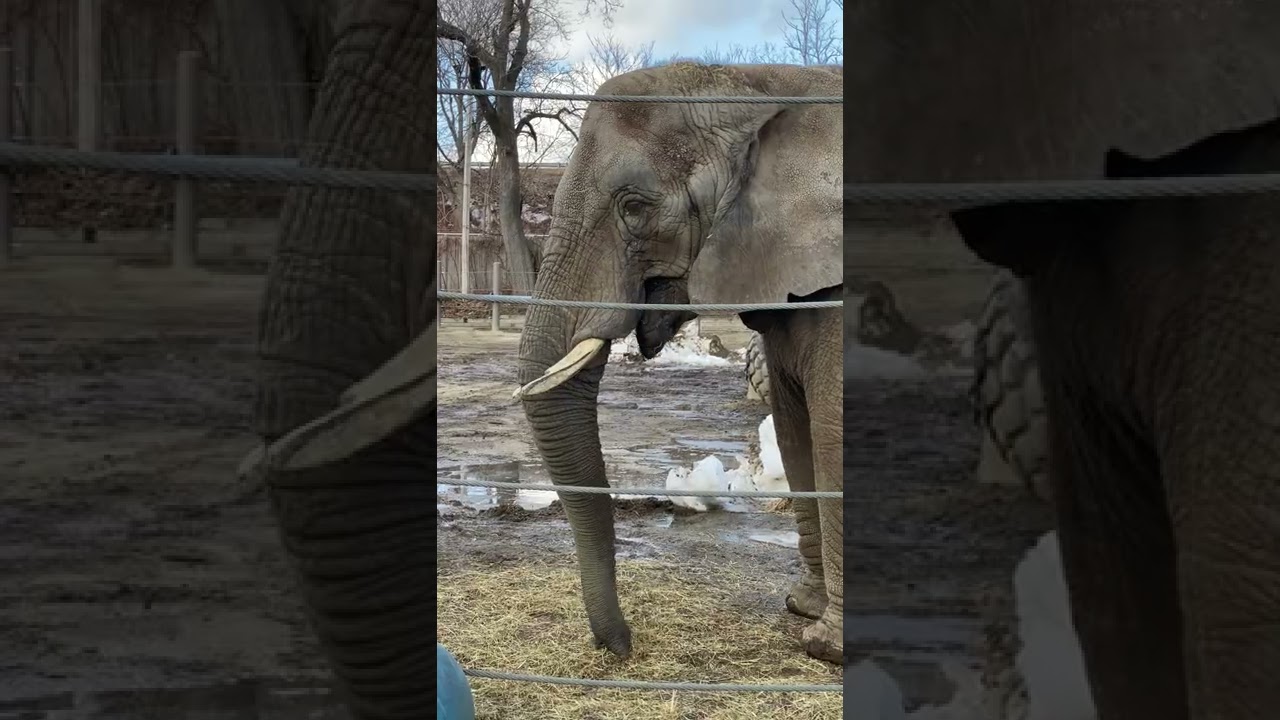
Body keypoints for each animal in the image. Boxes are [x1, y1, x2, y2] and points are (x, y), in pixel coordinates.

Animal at [511, 62, 845, 664]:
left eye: (634, 208)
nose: (623, 647)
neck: (752, 84)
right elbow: (796, 429)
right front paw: (802, 609)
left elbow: (834, 430)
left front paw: (826, 646)